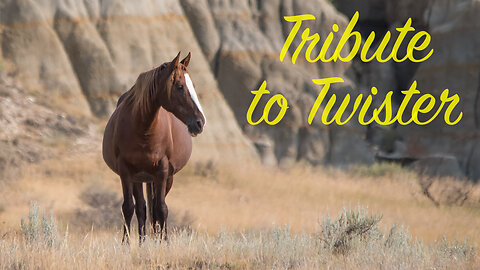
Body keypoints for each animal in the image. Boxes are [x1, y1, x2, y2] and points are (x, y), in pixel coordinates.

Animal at [102, 52, 205, 243]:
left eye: (193, 85)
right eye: (180, 86)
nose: (200, 122)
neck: (143, 129)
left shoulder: (162, 171)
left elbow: (161, 209)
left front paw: (164, 243)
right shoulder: (126, 172)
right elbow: (129, 208)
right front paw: (126, 244)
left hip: (165, 178)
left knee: (155, 208)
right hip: (138, 179)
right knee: (141, 208)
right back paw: (142, 242)